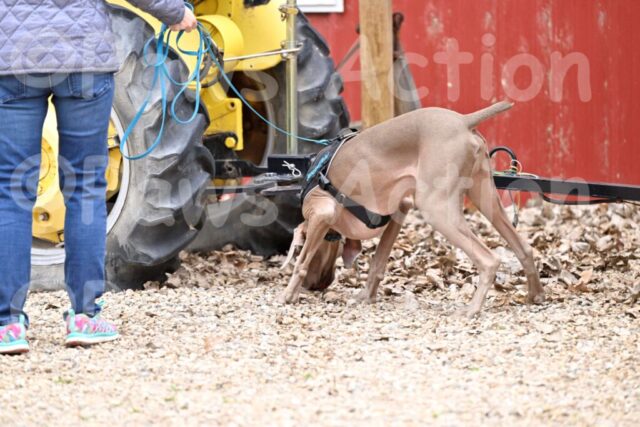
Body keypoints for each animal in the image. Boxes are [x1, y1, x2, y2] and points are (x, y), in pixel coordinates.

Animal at [280, 102, 545, 317]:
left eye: (302, 247)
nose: (314, 286)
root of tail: (463, 120)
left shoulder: (322, 211)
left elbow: (301, 263)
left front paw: (288, 295)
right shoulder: (400, 209)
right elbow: (378, 262)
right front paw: (366, 297)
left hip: (436, 208)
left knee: (489, 260)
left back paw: (472, 310)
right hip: (484, 194)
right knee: (524, 247)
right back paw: (536, 295)